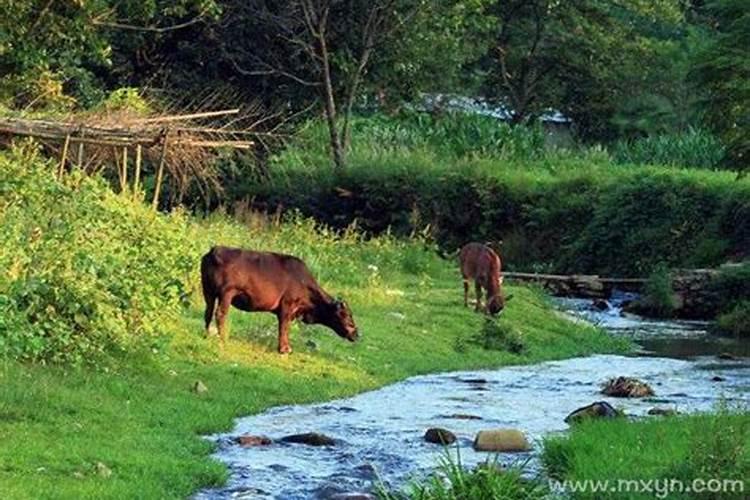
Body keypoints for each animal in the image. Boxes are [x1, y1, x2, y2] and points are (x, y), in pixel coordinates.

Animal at [201, 246, 360, 352]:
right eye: (347, 315)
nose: (357, 334)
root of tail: (215, 250)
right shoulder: (287, 305)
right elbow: (284, 327)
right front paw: (284, 349)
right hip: (227, 292)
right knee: (220, 314)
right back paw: (222, 338)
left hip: (208, 290)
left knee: (208, 312)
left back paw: (206, 334)